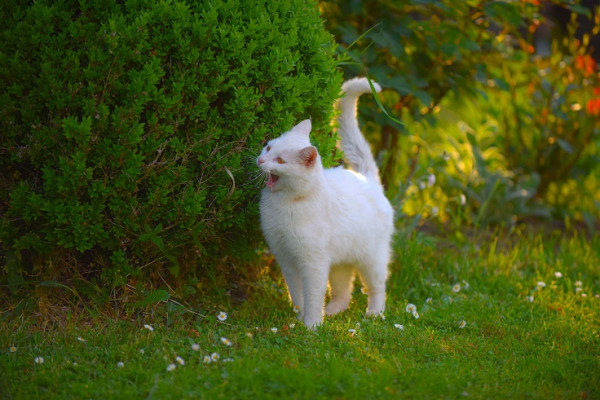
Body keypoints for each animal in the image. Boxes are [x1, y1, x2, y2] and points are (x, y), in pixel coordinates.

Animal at [258, 78, 394, 328]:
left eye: (280, 160)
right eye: (268, 147)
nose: (261, 160)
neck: (286, 203)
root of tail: (366, 177)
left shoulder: (313, 264)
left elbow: (312, 296)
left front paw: (311, 326)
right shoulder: (286, 259)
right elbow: (297, 295)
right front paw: (298, 319)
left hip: (372, 260)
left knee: (377, 288)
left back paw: (374, 314)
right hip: (340, 264)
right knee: (344, 293)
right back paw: (331, 313)